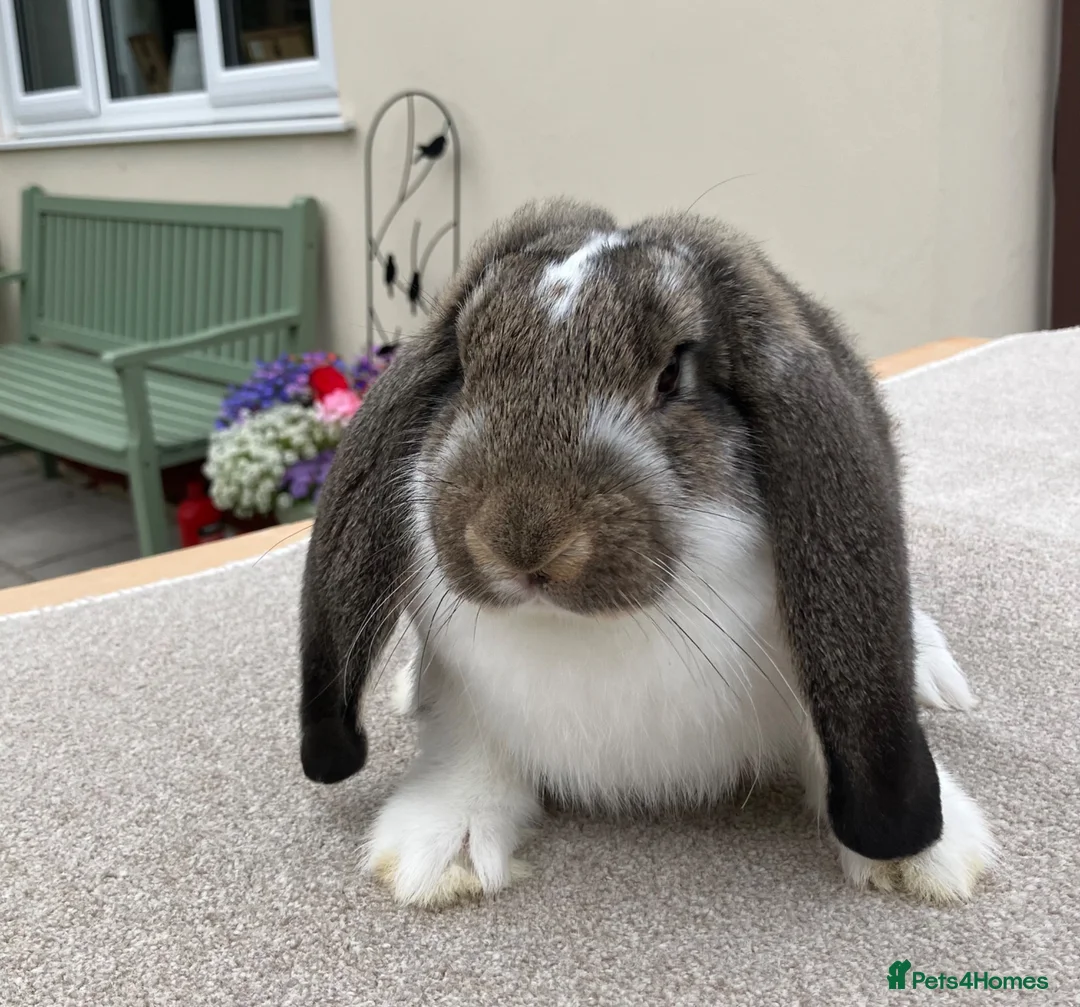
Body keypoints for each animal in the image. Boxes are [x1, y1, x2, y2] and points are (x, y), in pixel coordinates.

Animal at [298, 198, 996, 909]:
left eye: (671, 375)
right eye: (465, 367)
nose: (521, 542)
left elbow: (827, 746)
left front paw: (929, 862)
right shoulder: (466, 701)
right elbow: (469, 760)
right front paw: (443, 853)